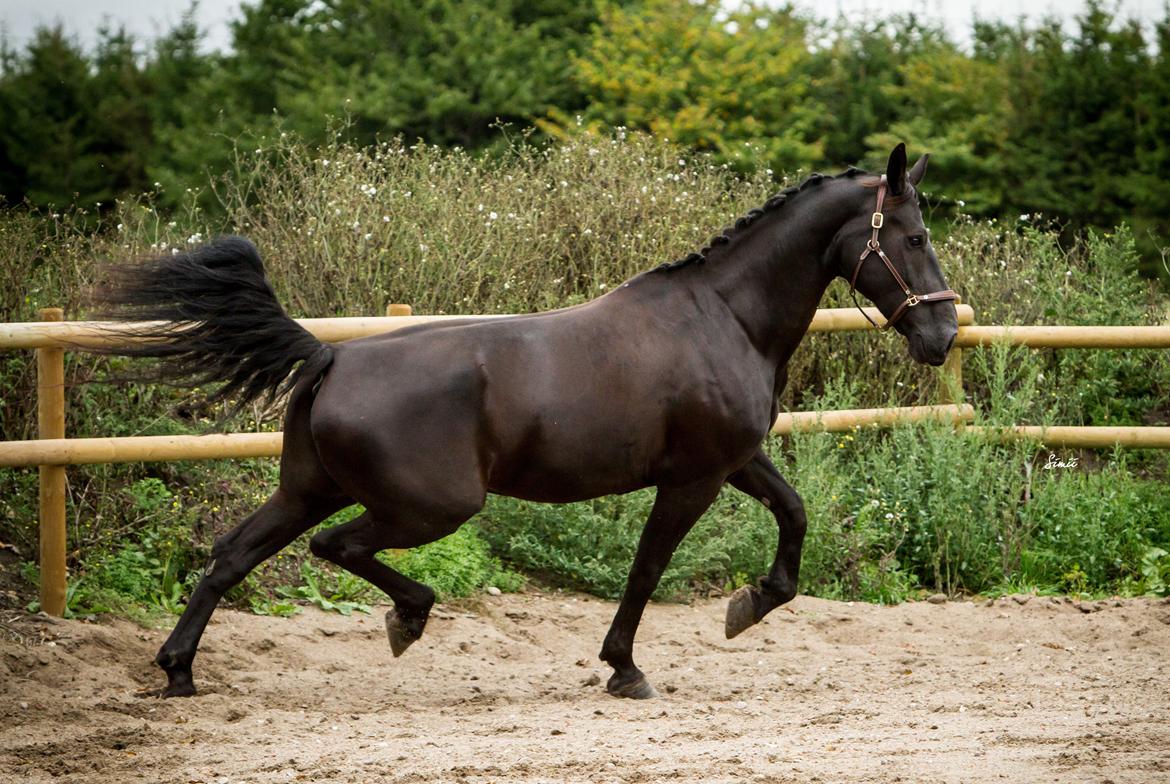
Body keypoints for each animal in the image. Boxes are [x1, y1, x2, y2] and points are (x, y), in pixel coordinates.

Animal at [98, 142, 959, 702]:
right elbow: (647, 569)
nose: (943, 335)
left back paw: (179, 672)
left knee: (232, 556)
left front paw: (747, 607)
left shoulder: (735, 461)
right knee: (335, 548)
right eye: (914, 237)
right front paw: (625, 669)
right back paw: (407, 619)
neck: (723, 318)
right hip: (430, 506)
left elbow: (794, 513)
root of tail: (330, 357)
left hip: (310, 489)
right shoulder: (694, 478)